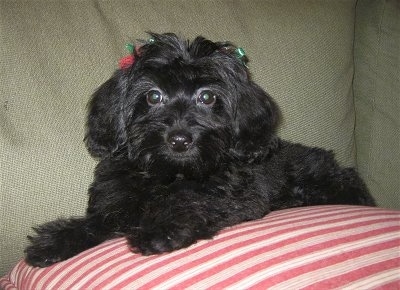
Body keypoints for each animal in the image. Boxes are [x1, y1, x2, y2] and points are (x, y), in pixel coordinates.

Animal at [25, 32, 376, 268]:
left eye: (207, 97)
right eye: (153, 96)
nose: (179, 140)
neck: (170, 172)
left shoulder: (238, 197)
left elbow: (193, 201)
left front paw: (162, 226)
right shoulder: (117, 197)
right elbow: (100, 219)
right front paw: (56, 239)